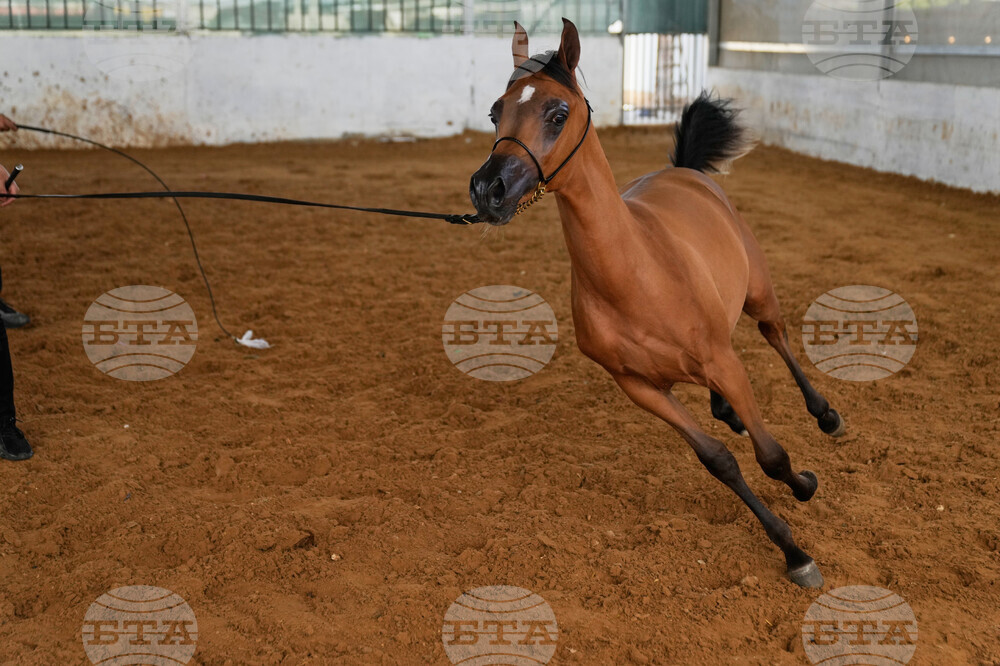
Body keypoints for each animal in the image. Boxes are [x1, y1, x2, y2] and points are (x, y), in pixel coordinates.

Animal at [468, 19, 846, 588]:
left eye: (557, 114)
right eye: (496, 112)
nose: (487, 190)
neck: (636, 277)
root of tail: (686, 172)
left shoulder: (724, 363)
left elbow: (771, 456)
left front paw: (803, 494)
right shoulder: (641, 388)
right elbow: (719, 460)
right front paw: (792, 549)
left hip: (758, 294)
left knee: (775, 335)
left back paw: (825, 416)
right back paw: (728, 412)